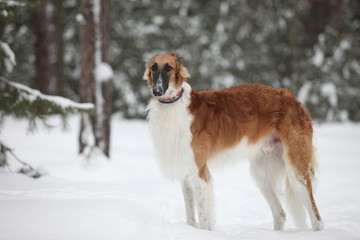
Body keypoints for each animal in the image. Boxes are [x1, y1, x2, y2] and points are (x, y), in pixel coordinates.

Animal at [143, 52, 324, 231]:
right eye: (153, 67)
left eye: (169, 68)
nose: (157, 91)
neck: (173, 105)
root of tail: (293, 99)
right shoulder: (186, 172)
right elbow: (190, 218)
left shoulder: (199, 172)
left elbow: (204, 220)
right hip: (263, 173)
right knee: (280, 215)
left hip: (296, 167)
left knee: (317, 219)